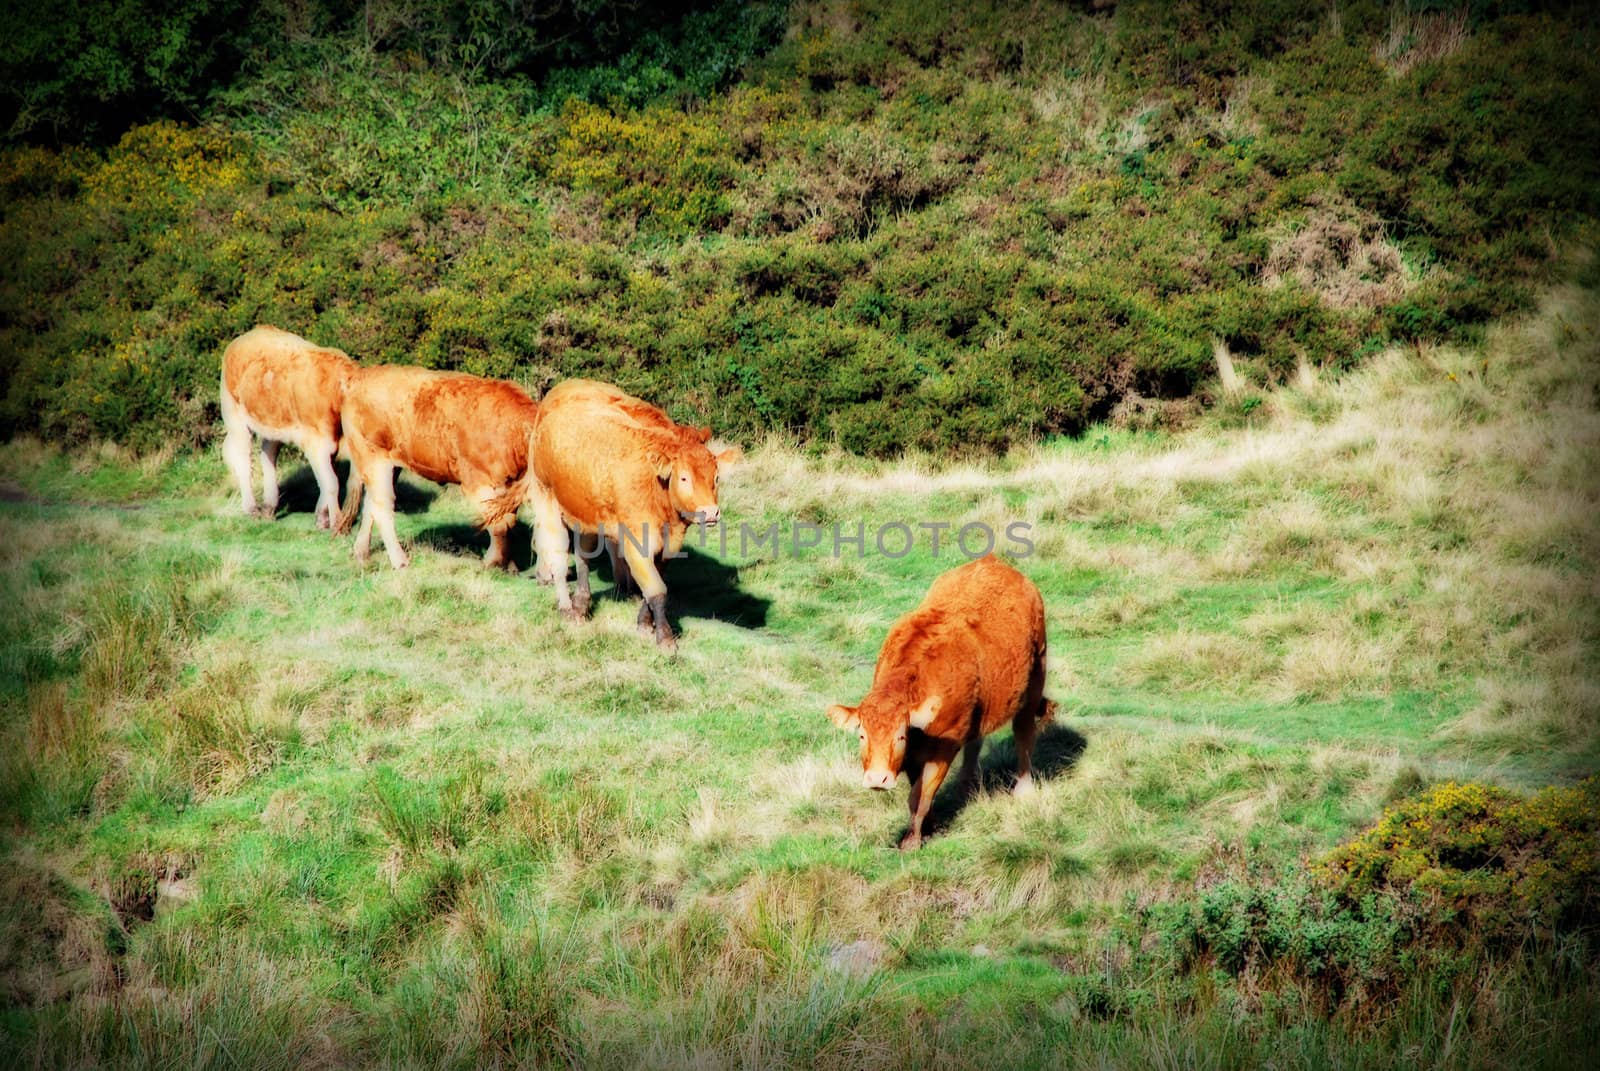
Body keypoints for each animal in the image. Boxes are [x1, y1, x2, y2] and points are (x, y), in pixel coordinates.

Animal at [217, 323, 355, 528]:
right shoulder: (316, 442)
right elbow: (331, 482)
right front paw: (336, 522)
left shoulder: (330, 443)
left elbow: (328, 478)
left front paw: (322, 518)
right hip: (233, 414)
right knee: (243, 458)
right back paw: (251, 508)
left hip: (272, 420)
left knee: (268, 454)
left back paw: (268, 507)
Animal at [339, 363, 563, 573]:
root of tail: (361, 376)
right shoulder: (478, 483)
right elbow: (499, 525)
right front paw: (493, 562)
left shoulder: (508, 488)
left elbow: (509, 521)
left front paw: (510, 565)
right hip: (371, 455)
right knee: (382, 506)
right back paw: (399, 561)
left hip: (390, 464)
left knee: (370, 505)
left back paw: (361, 553)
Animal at [531, 379, 742, 646]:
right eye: (684, 477)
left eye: (716, 478)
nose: (711, 512)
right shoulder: (637, 541)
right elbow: (656, 588)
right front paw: (665, 638)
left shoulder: (669, 545)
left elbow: (654, 583)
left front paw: (644, 623)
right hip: (546, 498)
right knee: (557, 557)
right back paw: (567, 607)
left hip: (586, 512)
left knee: (583, 557)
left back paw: (581, 603)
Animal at [825, 557, 1062, 845]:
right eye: (862, 735)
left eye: (900, 736)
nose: (877, 779)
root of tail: (995, 562)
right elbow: (916, 794)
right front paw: (929, 825)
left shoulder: (944, 747)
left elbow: (920, 795)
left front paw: (912, 841)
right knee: (976, 741)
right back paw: (965, 785)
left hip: (1035, 677)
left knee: (1024, 732)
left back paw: (1024, 788)